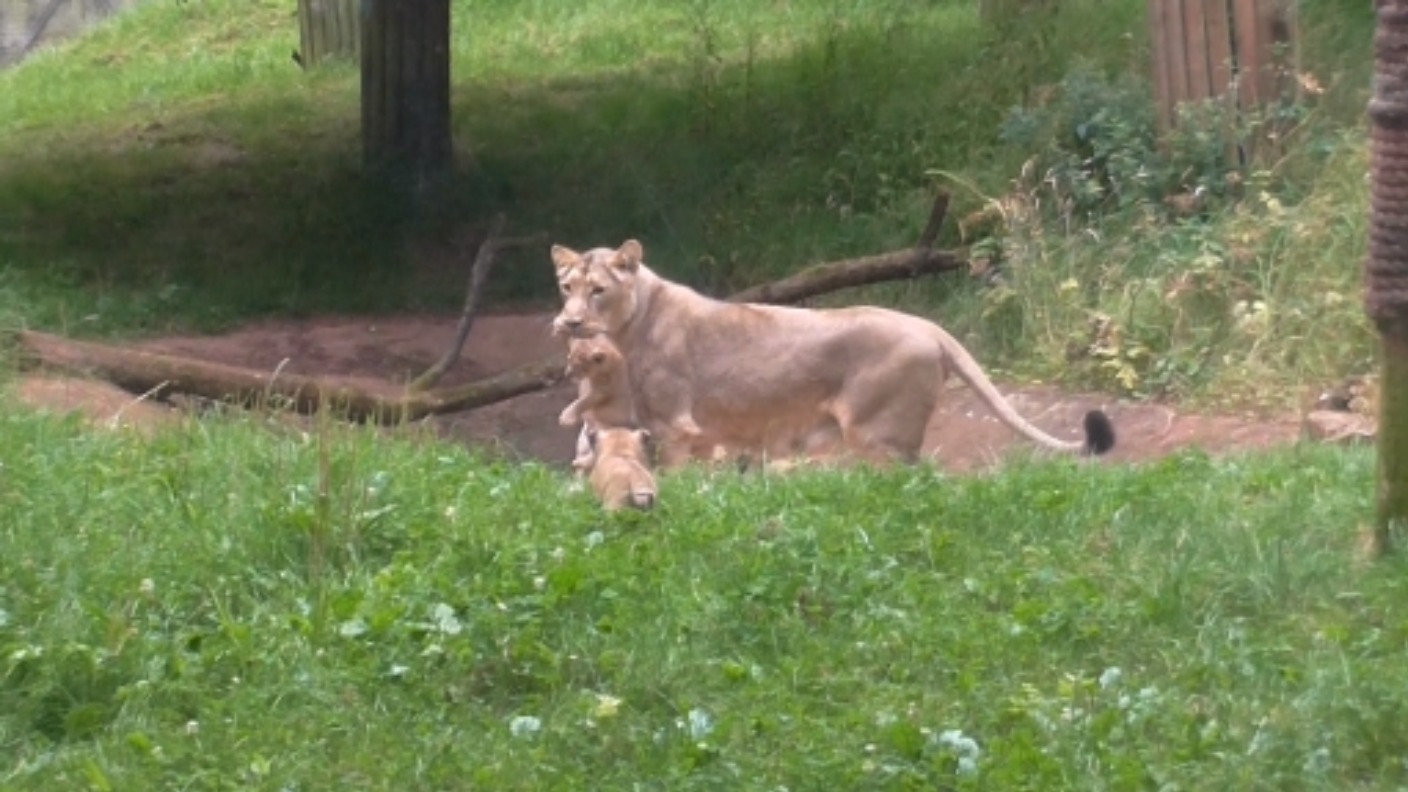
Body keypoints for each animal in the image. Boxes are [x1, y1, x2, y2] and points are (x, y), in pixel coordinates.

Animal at [550, 239, 1115, 467]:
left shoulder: (676, 429)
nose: (571, 322)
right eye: (565, 286)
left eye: (597, 290)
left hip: (878, 435)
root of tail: (930, 325)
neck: (631, 326)